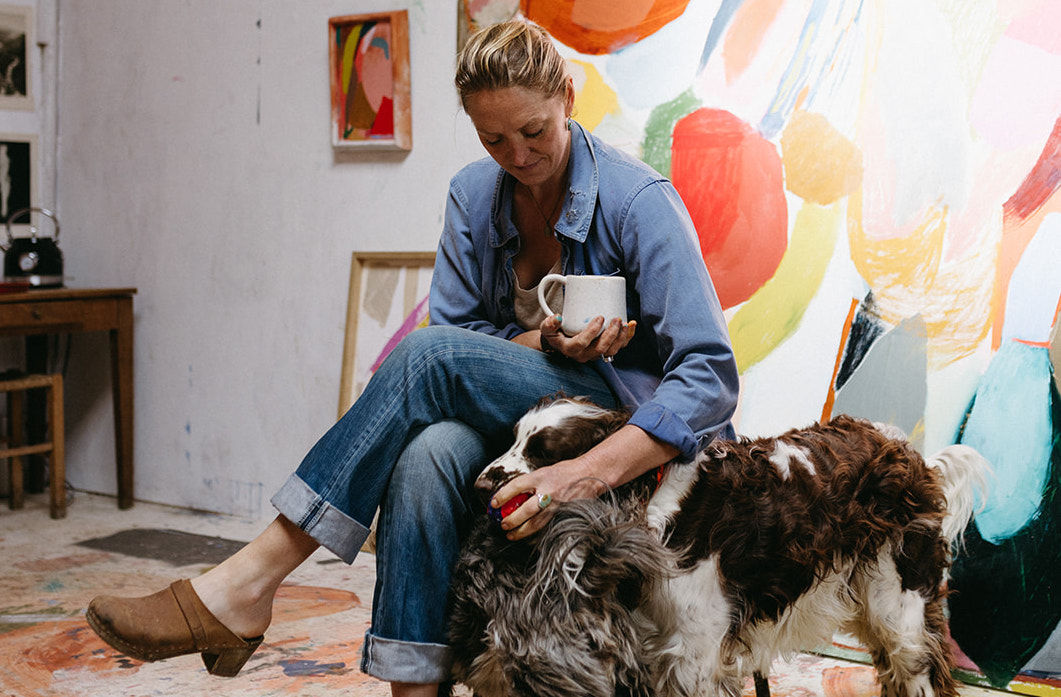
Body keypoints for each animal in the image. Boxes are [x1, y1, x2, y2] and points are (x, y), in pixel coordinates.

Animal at [445, 394, 984, 695]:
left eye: (545, 454)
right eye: (514, 440)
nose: (479, 484)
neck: (649, 503)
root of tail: (912, 455)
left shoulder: (693, 657)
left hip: (901, 611)